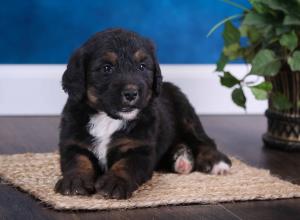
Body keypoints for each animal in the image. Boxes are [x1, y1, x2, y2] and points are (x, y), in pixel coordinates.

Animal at [54, 28, 232, 199]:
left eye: (141, 66)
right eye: (106, 68)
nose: (131, 93)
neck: (108, 119)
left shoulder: (139, 148)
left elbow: (126, 165)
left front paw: (114, 182)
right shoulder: (73, 142)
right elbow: (78, 161)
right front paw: (75, 181)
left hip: (186, 116)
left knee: (203, 141)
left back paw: (215, 162)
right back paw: (181, 159)